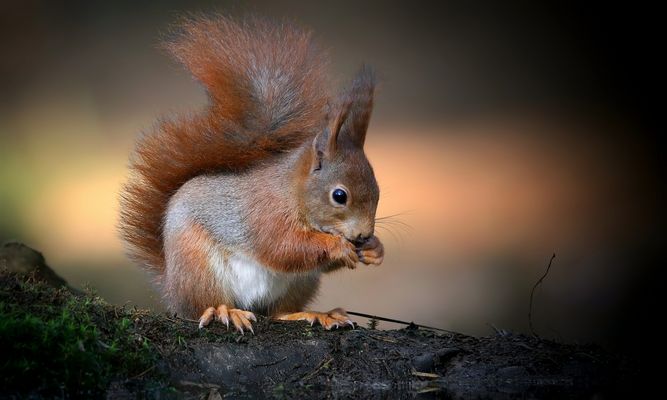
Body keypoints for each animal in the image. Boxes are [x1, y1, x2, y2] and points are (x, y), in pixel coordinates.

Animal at [119, 15, 384, 333]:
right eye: (339, 195)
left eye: (379, 190)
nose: (363, 234)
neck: (292, 193)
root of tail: (171, 287)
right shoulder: (263, 214)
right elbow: (283, 247)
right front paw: (338, 247)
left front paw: (375, 249)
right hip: (199, 266)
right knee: (201, 306)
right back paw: (224, 311)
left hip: (300, 283)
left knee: (278, 311)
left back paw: (314, 314)